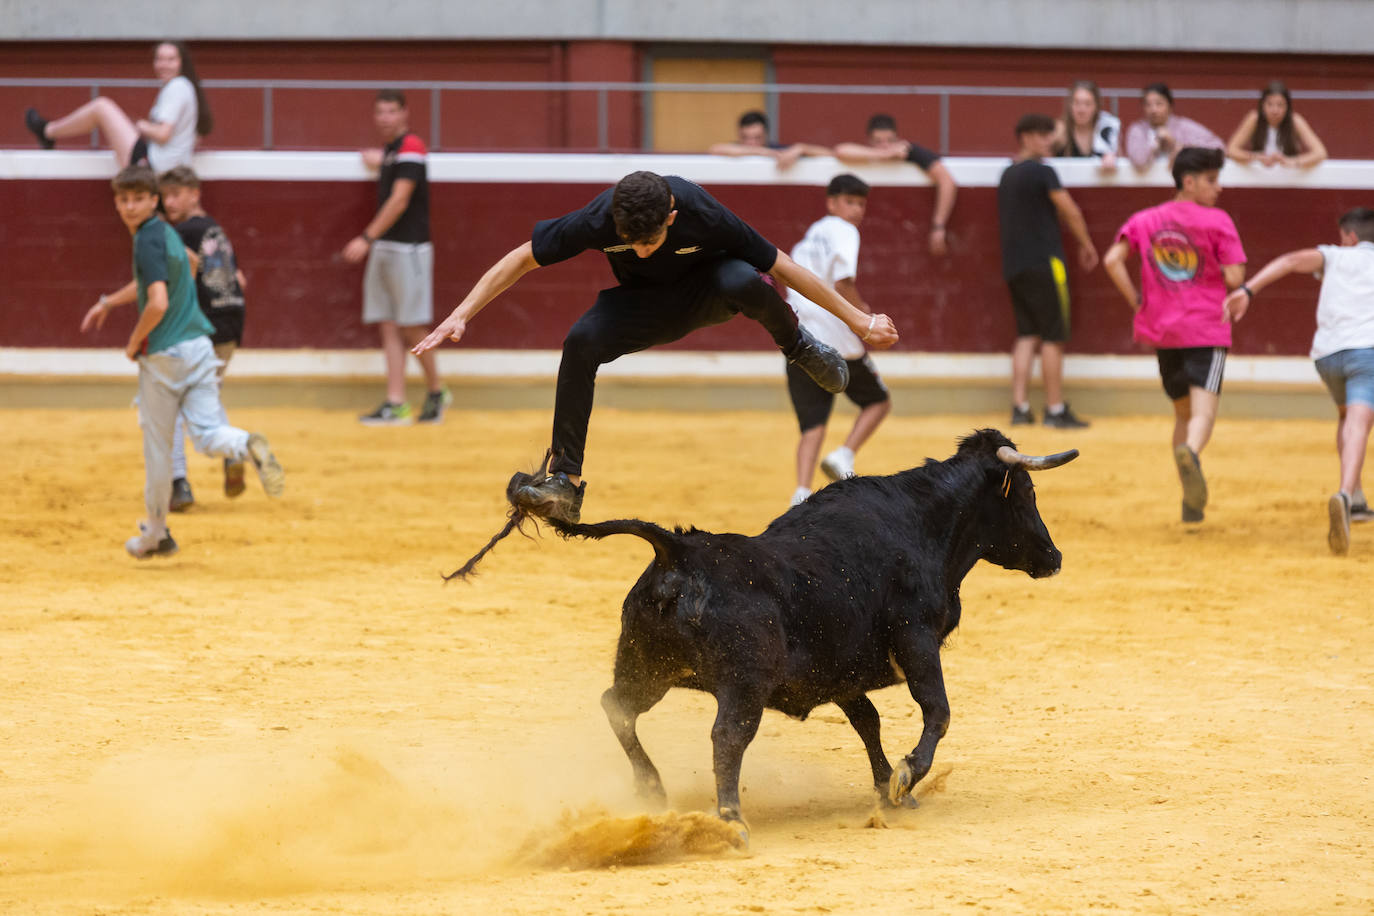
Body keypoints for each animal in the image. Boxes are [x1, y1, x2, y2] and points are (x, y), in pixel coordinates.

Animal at [450, 431, 1071, 840]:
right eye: (1026, 494)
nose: (1054, 557)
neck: (922, 523)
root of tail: (679, 548)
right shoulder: (916, 640)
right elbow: (936, 711)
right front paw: (905, 778)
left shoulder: (839, 672)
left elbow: (868, 723)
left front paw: (890, 793)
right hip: (742, 686)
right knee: (726, 739)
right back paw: (731, 820)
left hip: (647, 668)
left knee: (616, 706)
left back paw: (652, 789)